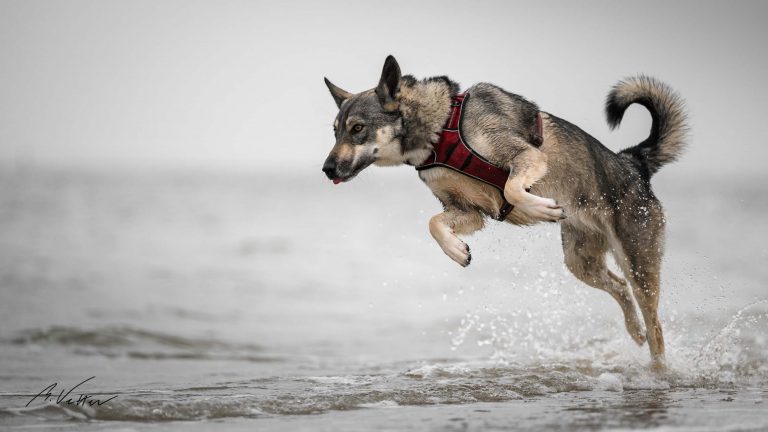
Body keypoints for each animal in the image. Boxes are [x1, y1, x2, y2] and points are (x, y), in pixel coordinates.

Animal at [320, 55, 688, 370]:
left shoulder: (528, 158)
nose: (326, 169)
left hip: (638, 263)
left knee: (655, 326)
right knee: (621, 289)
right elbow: (434, 223)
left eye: (357, 128)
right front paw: (456, 250)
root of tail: (634, 163)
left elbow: (511, 188)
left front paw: (538, 207)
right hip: (580, 262)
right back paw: (634, 332)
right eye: (335, 131)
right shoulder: (468, 211)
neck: (441, 130)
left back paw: (658, 366)